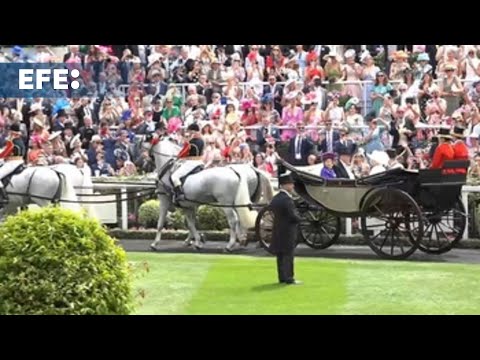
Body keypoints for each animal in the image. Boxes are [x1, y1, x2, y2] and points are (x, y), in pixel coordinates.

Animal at [144, 136, 274, 252]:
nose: (145, 159)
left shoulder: (164, 201)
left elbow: (160, 223)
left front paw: (154, 244)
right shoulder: (188, 206)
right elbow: (191, 224)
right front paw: (196, 241)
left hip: (227, 204)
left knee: (233, 221)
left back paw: (230, 245)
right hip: (245, 202)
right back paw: (243, 240)